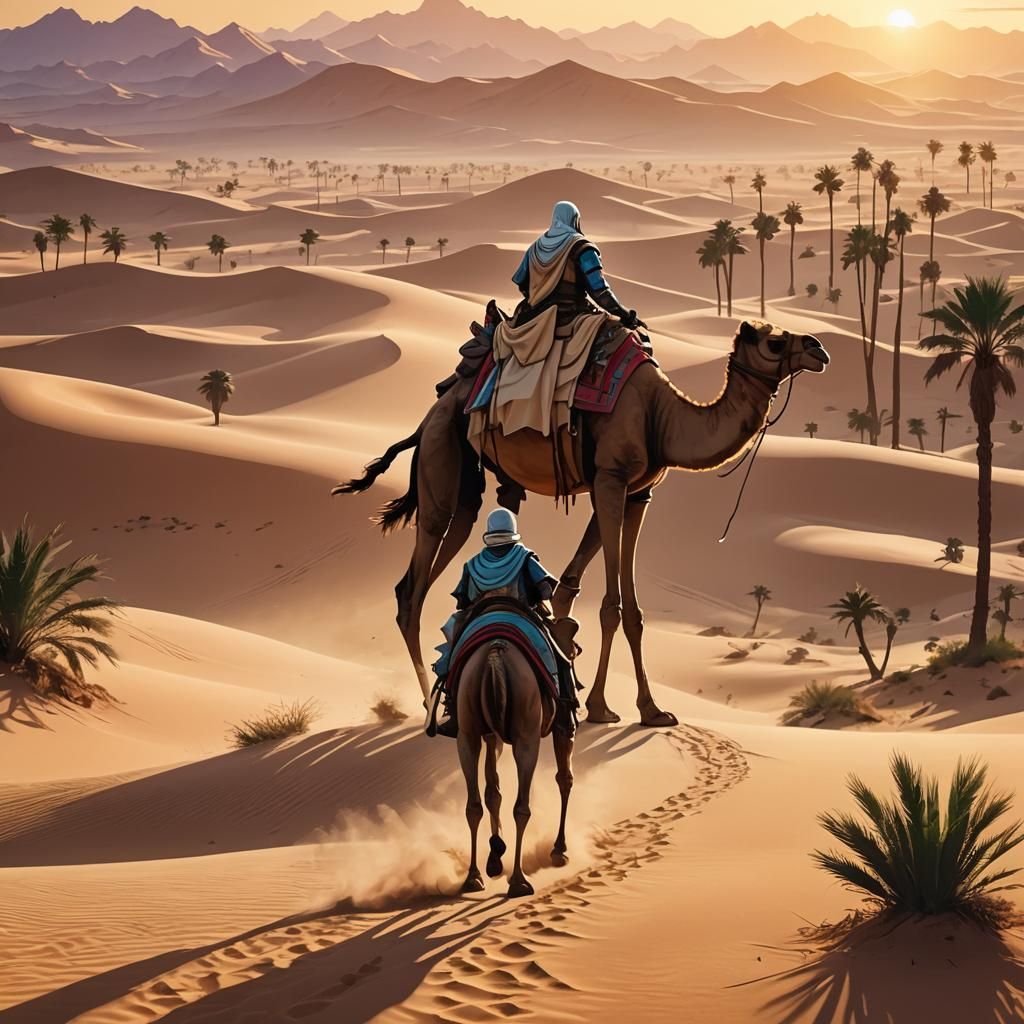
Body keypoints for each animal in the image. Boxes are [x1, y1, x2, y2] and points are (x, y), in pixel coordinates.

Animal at [335, 319, 830, 726]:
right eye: (774, 341)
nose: (819, 348)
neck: (661, 418)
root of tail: (428, 416)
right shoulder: (610, 480)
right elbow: (612, 606)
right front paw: (602, 707)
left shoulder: (637, 494)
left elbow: (623, 607)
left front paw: (650, 710)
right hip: (441, 455)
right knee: (413, 587)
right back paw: (428, 704)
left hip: (466, 484)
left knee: (447, 545)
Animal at [456, 639, 573, 898]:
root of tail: (494, 654)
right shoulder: (562, 723)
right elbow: (564, 778)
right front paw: (559, 849)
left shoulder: (491, 734)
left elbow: (493, 791)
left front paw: (495, 857)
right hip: (527, 734)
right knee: (522, 808)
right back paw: (519, 881)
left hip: (467, 728)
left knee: (473, 805)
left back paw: (473, 877)